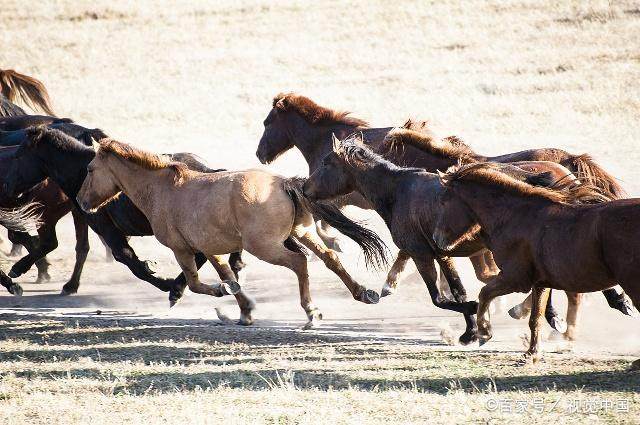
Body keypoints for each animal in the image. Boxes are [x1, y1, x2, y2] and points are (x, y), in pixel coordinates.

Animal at [5, 126, 250, 322]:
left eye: (19, 155)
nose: (7, 186)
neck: (81, 172)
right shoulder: (88, 219)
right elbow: (74, 247)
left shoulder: (106, 228)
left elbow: (128, 260)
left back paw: (181, 289)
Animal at [75, 137, 384, 326]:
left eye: (89, 169)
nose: (81, 202)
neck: (162, 189)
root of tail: (284, 183)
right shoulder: (212, 249)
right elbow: (226, 274)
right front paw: (244, 311)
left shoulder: (182, 250)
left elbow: (198, 283)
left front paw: (220, 293)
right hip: (301, 233)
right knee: (330, 258)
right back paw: (364, 293)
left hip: (266, 247)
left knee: (300, 262)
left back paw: (312, 312)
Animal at [430, 161, 640, 364]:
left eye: (443, 202)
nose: (436, 239)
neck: (515, 216)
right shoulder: (540, 283)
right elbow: (535, 318)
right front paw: (532, 353)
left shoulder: (516, 279)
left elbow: (485, 293)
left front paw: (484, 333)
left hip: (631, 283)